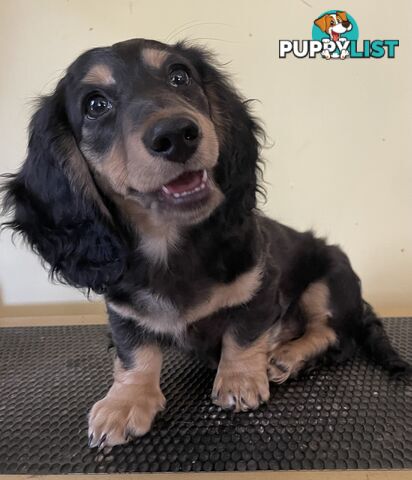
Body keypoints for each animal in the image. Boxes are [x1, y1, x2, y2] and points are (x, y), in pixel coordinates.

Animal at [1, 39, 410, 448]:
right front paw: (125, 401)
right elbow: (134, 353)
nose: (177, 134)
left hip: (329, 278)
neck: (171, 245)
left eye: (179, 76)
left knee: (333, 336)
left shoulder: (259, 285)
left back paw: (286, 357)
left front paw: (240, 380)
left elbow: (244, 334)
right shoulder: (122, 311)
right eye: (95, 105)